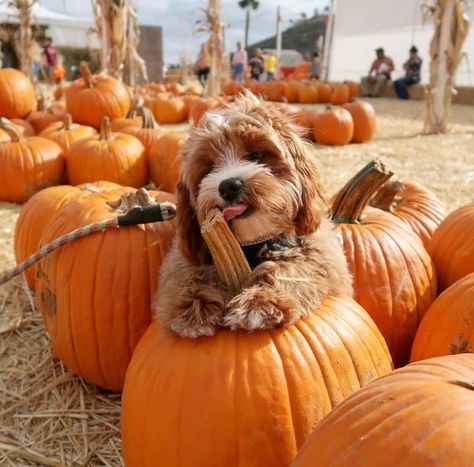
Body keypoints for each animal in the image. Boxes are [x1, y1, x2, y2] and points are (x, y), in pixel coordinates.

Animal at [156, 91, 352, 338]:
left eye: (257, 155)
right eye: (209, 168)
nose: (229, 186)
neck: (252, 242)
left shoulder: (320, 253)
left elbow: (292, 266)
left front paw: (260, 302)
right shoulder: (187, 256)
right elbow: (188, 274)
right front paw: (194, 306)